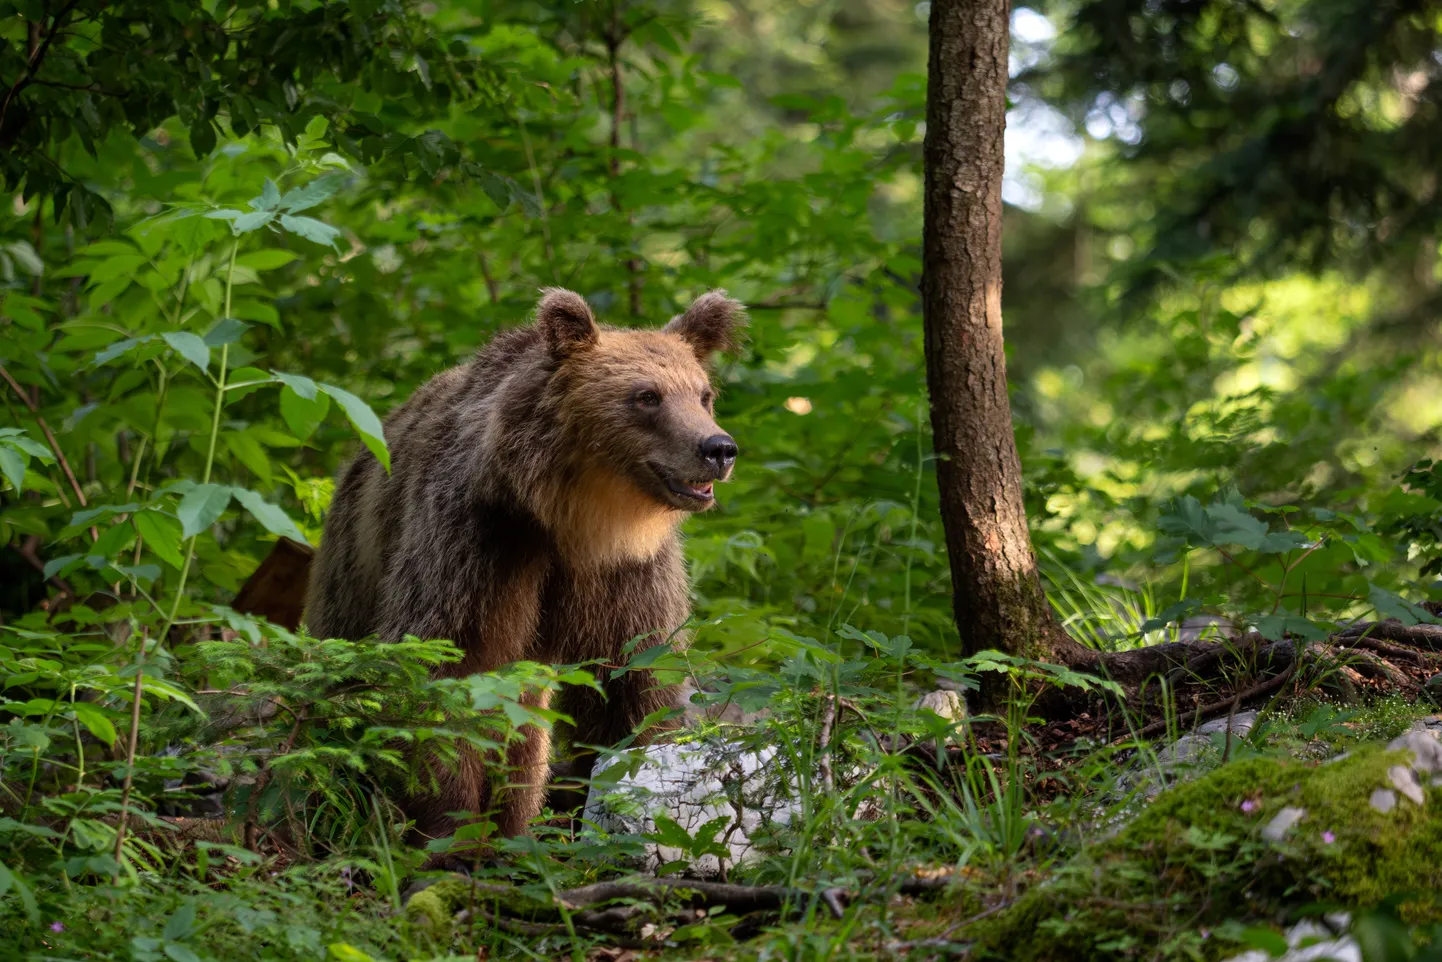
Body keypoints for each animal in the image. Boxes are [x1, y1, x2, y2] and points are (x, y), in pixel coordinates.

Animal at [298, 289, 738, 848]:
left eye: (703, 395)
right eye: (646, 396)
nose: (718, 448)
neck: (575, 522)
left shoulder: (628, 574)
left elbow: (634, 681)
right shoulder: (479, 542)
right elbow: (450, 666)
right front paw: (451, 832)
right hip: (354, 563)